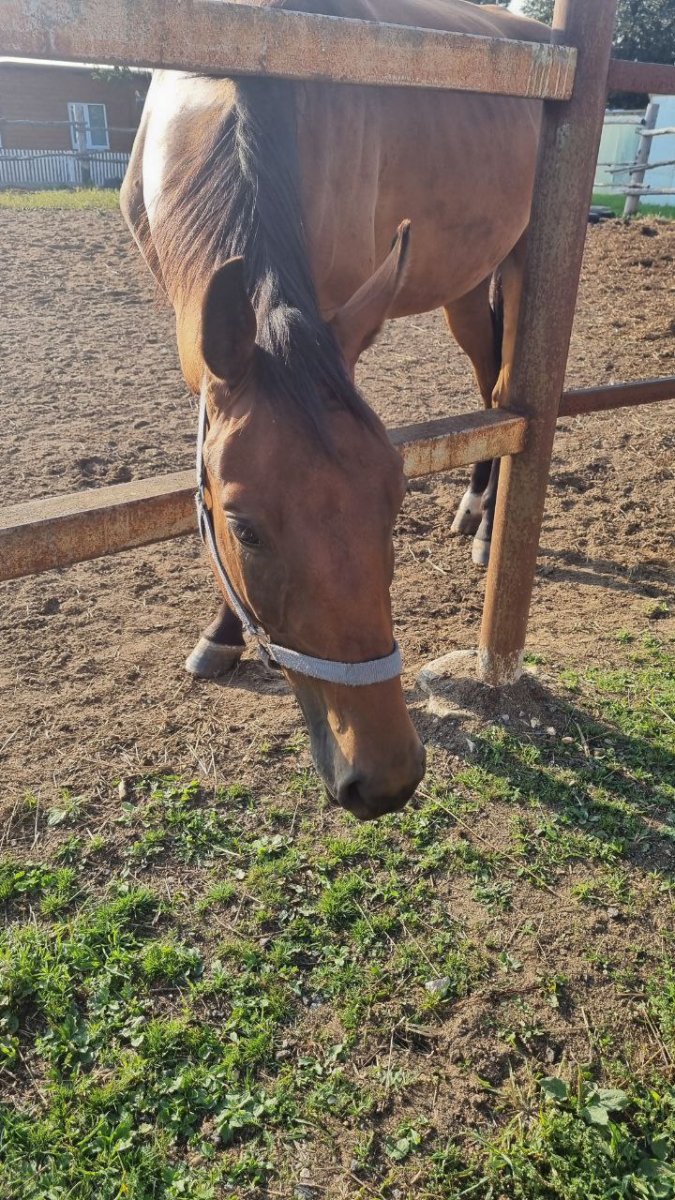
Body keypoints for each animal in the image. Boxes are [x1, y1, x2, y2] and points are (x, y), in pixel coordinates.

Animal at [121, 0, 549, 820]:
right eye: (246, 527)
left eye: (394, 499)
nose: (386, 778)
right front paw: (222, 632)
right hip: (461, 284)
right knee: (488, 388)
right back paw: (474, 510)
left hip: (516, 265)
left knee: (502, 392)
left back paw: (488, 526)